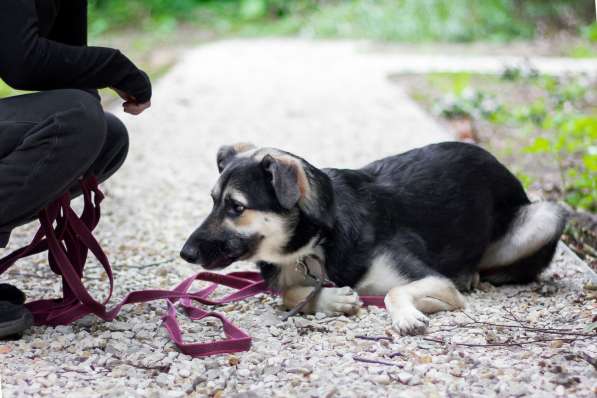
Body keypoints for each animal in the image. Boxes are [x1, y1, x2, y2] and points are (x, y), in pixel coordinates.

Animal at [179, 141, 564, 334]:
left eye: (236, 206)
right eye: (213, 201)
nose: (186, 253)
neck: (316, 243)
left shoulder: (436, 281)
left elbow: (394, 290)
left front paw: (407, 315)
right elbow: (288, 294)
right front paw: (333, 300)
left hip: (547, 215)